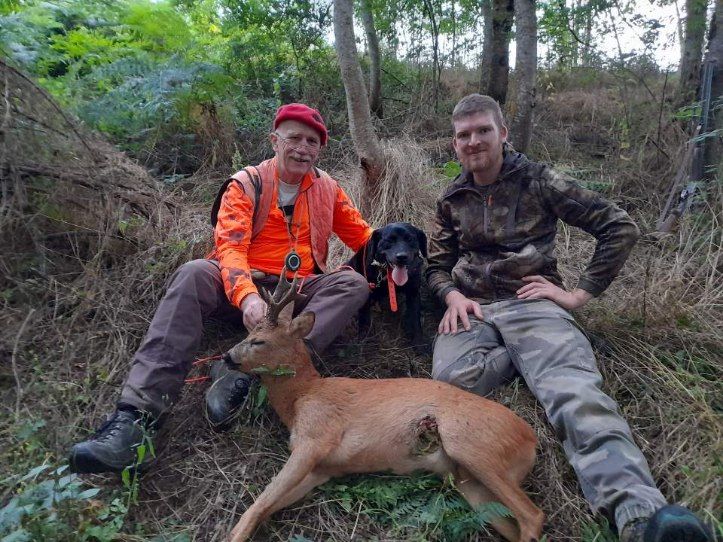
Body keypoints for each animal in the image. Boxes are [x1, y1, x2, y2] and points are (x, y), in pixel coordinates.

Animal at [226, 272, 544, 542]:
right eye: (248, 334)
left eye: (258, 340)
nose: (228, 357)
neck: (301, 397)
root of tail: (531, 441)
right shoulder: (323, 469)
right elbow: (266, 508)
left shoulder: (315, 438)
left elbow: (257, 505)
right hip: (469, 482)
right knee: (517, 525)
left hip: (471, 445)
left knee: (533, 516)